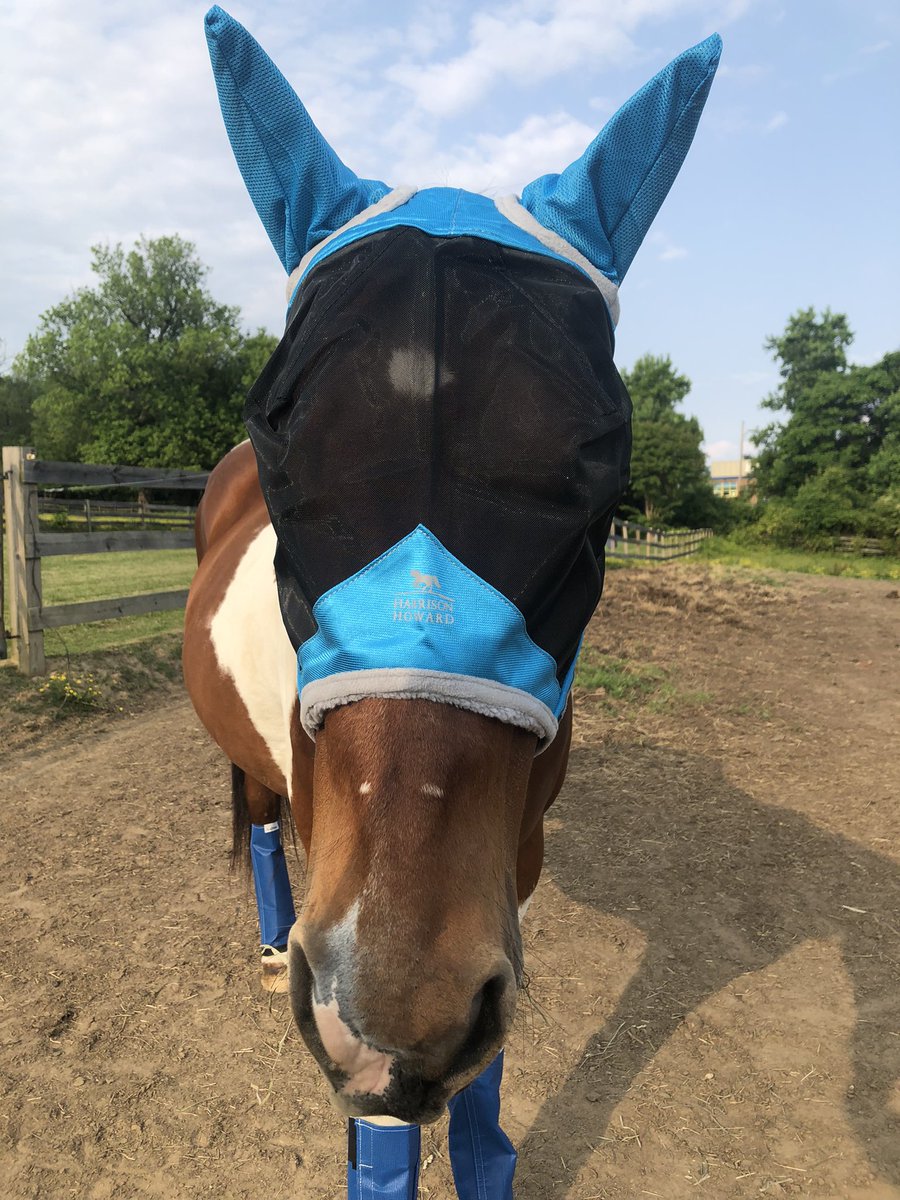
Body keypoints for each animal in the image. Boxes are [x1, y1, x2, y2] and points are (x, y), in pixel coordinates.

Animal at [184, 8, 720, 1194]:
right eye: (285, 456)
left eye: (597, 489)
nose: (402, 1011)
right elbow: (383, 1122)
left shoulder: (511, 865)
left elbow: (486, 1078)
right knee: (258, 823)